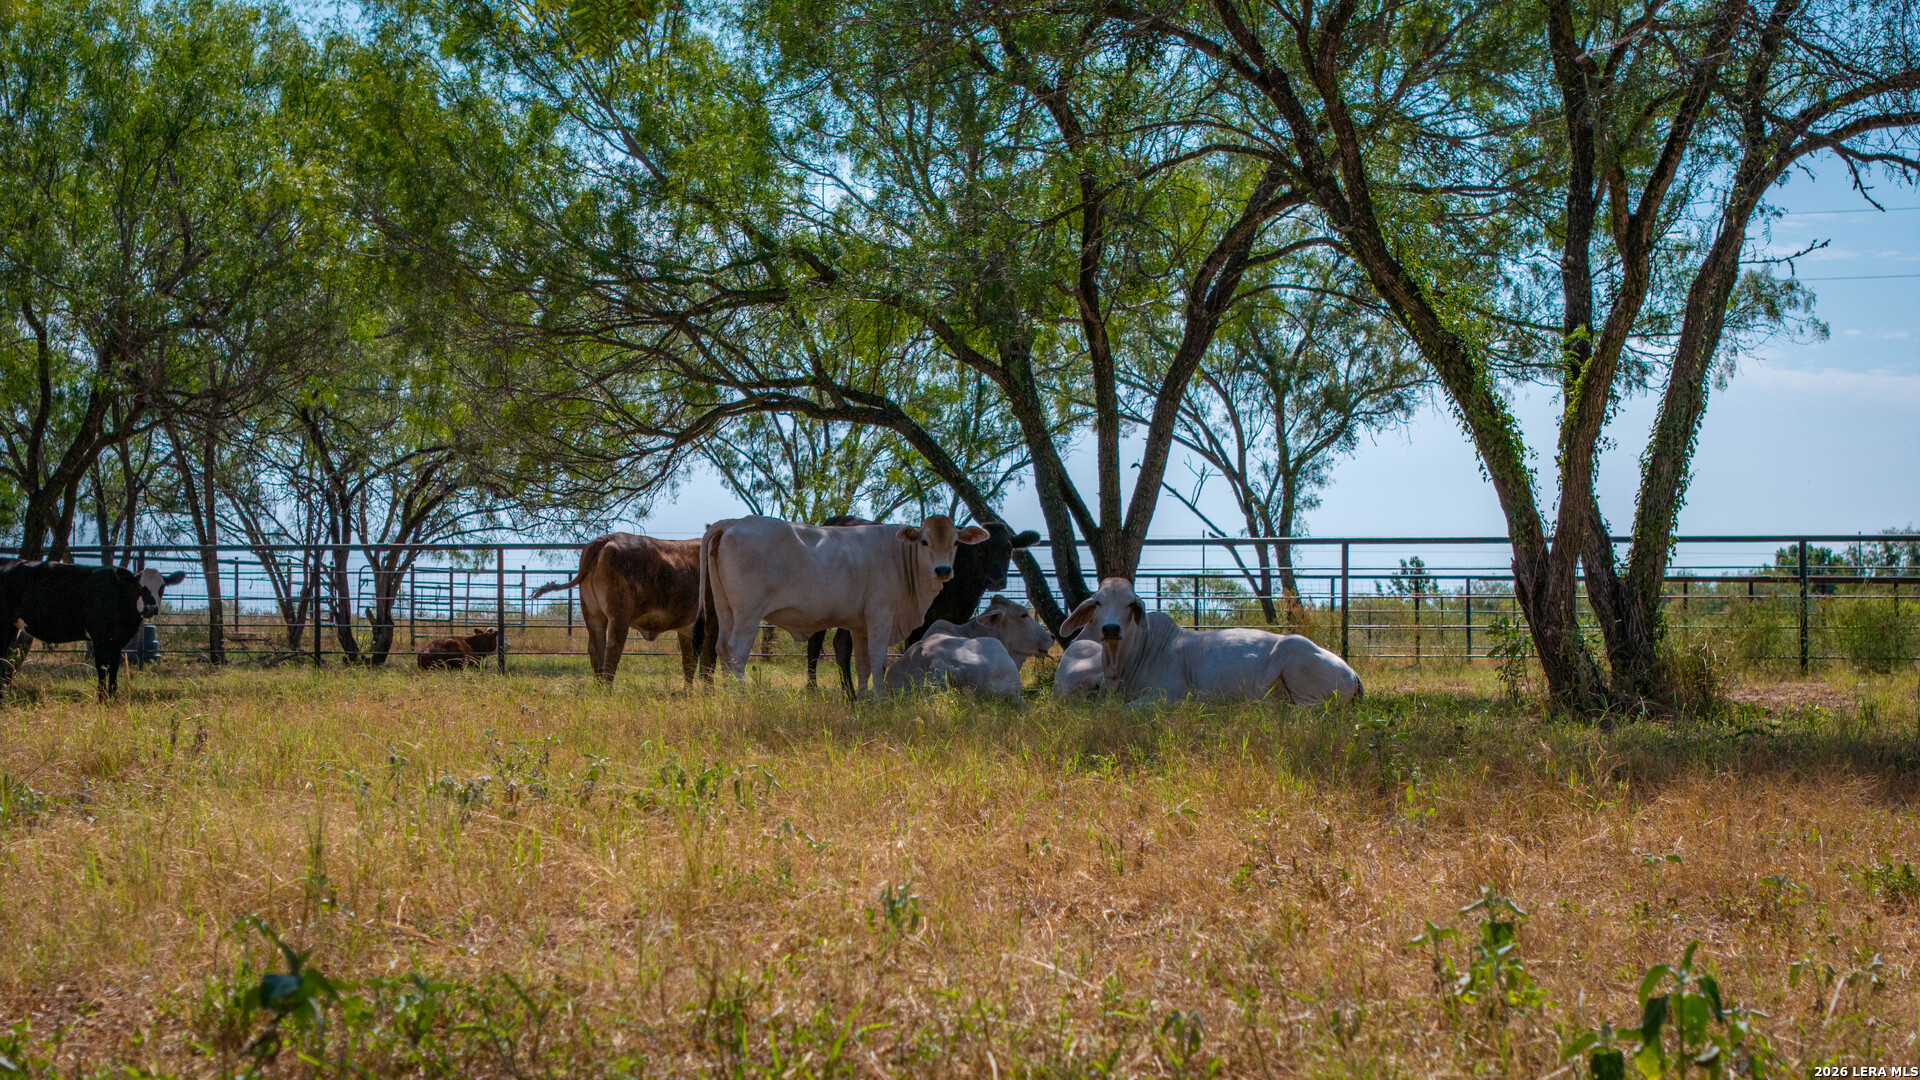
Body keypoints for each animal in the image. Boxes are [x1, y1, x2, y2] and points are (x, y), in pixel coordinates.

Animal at [0, 560, 186, 699]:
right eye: (139, 587)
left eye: (162, 588)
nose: (150, 608)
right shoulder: (99, 637)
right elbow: (102, 667)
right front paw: (102, 699)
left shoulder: (118, 640)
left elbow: (114, 667)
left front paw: (112, 697)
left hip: (11, 627)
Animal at [528, 533, 705, 685]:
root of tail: (608, 538)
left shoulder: (686, 629)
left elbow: (689, 662)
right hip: (619, 617)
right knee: (612, 650)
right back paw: (608, 689)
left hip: (593, 614)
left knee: (597, 649)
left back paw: (600, 687)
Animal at [699, 514, 989, 692]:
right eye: (925, 541)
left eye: (955, 542)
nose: (943, 570)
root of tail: (736, 521)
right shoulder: (881, 615)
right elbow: (878, 659)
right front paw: (879, 700)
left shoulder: (859, 625)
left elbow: (862, 663)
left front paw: (863, 698)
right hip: (748, 614)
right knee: (737, 650)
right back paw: (740, 693)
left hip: (726, 610)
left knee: (721, 648)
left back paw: (727, 694)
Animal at [804, 517, 1040, 698]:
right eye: (980, 550)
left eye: (1009, 549)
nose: (996, 580)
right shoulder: (916, 620)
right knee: (824, 643)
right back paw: (824, 691)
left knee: (836, 642)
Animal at [1051, 578, 1362, 705]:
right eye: (1098, 602)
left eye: (1130, 604)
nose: (1111, 628)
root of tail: (1351, 672)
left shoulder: (1169, 697)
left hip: (1297, 663)